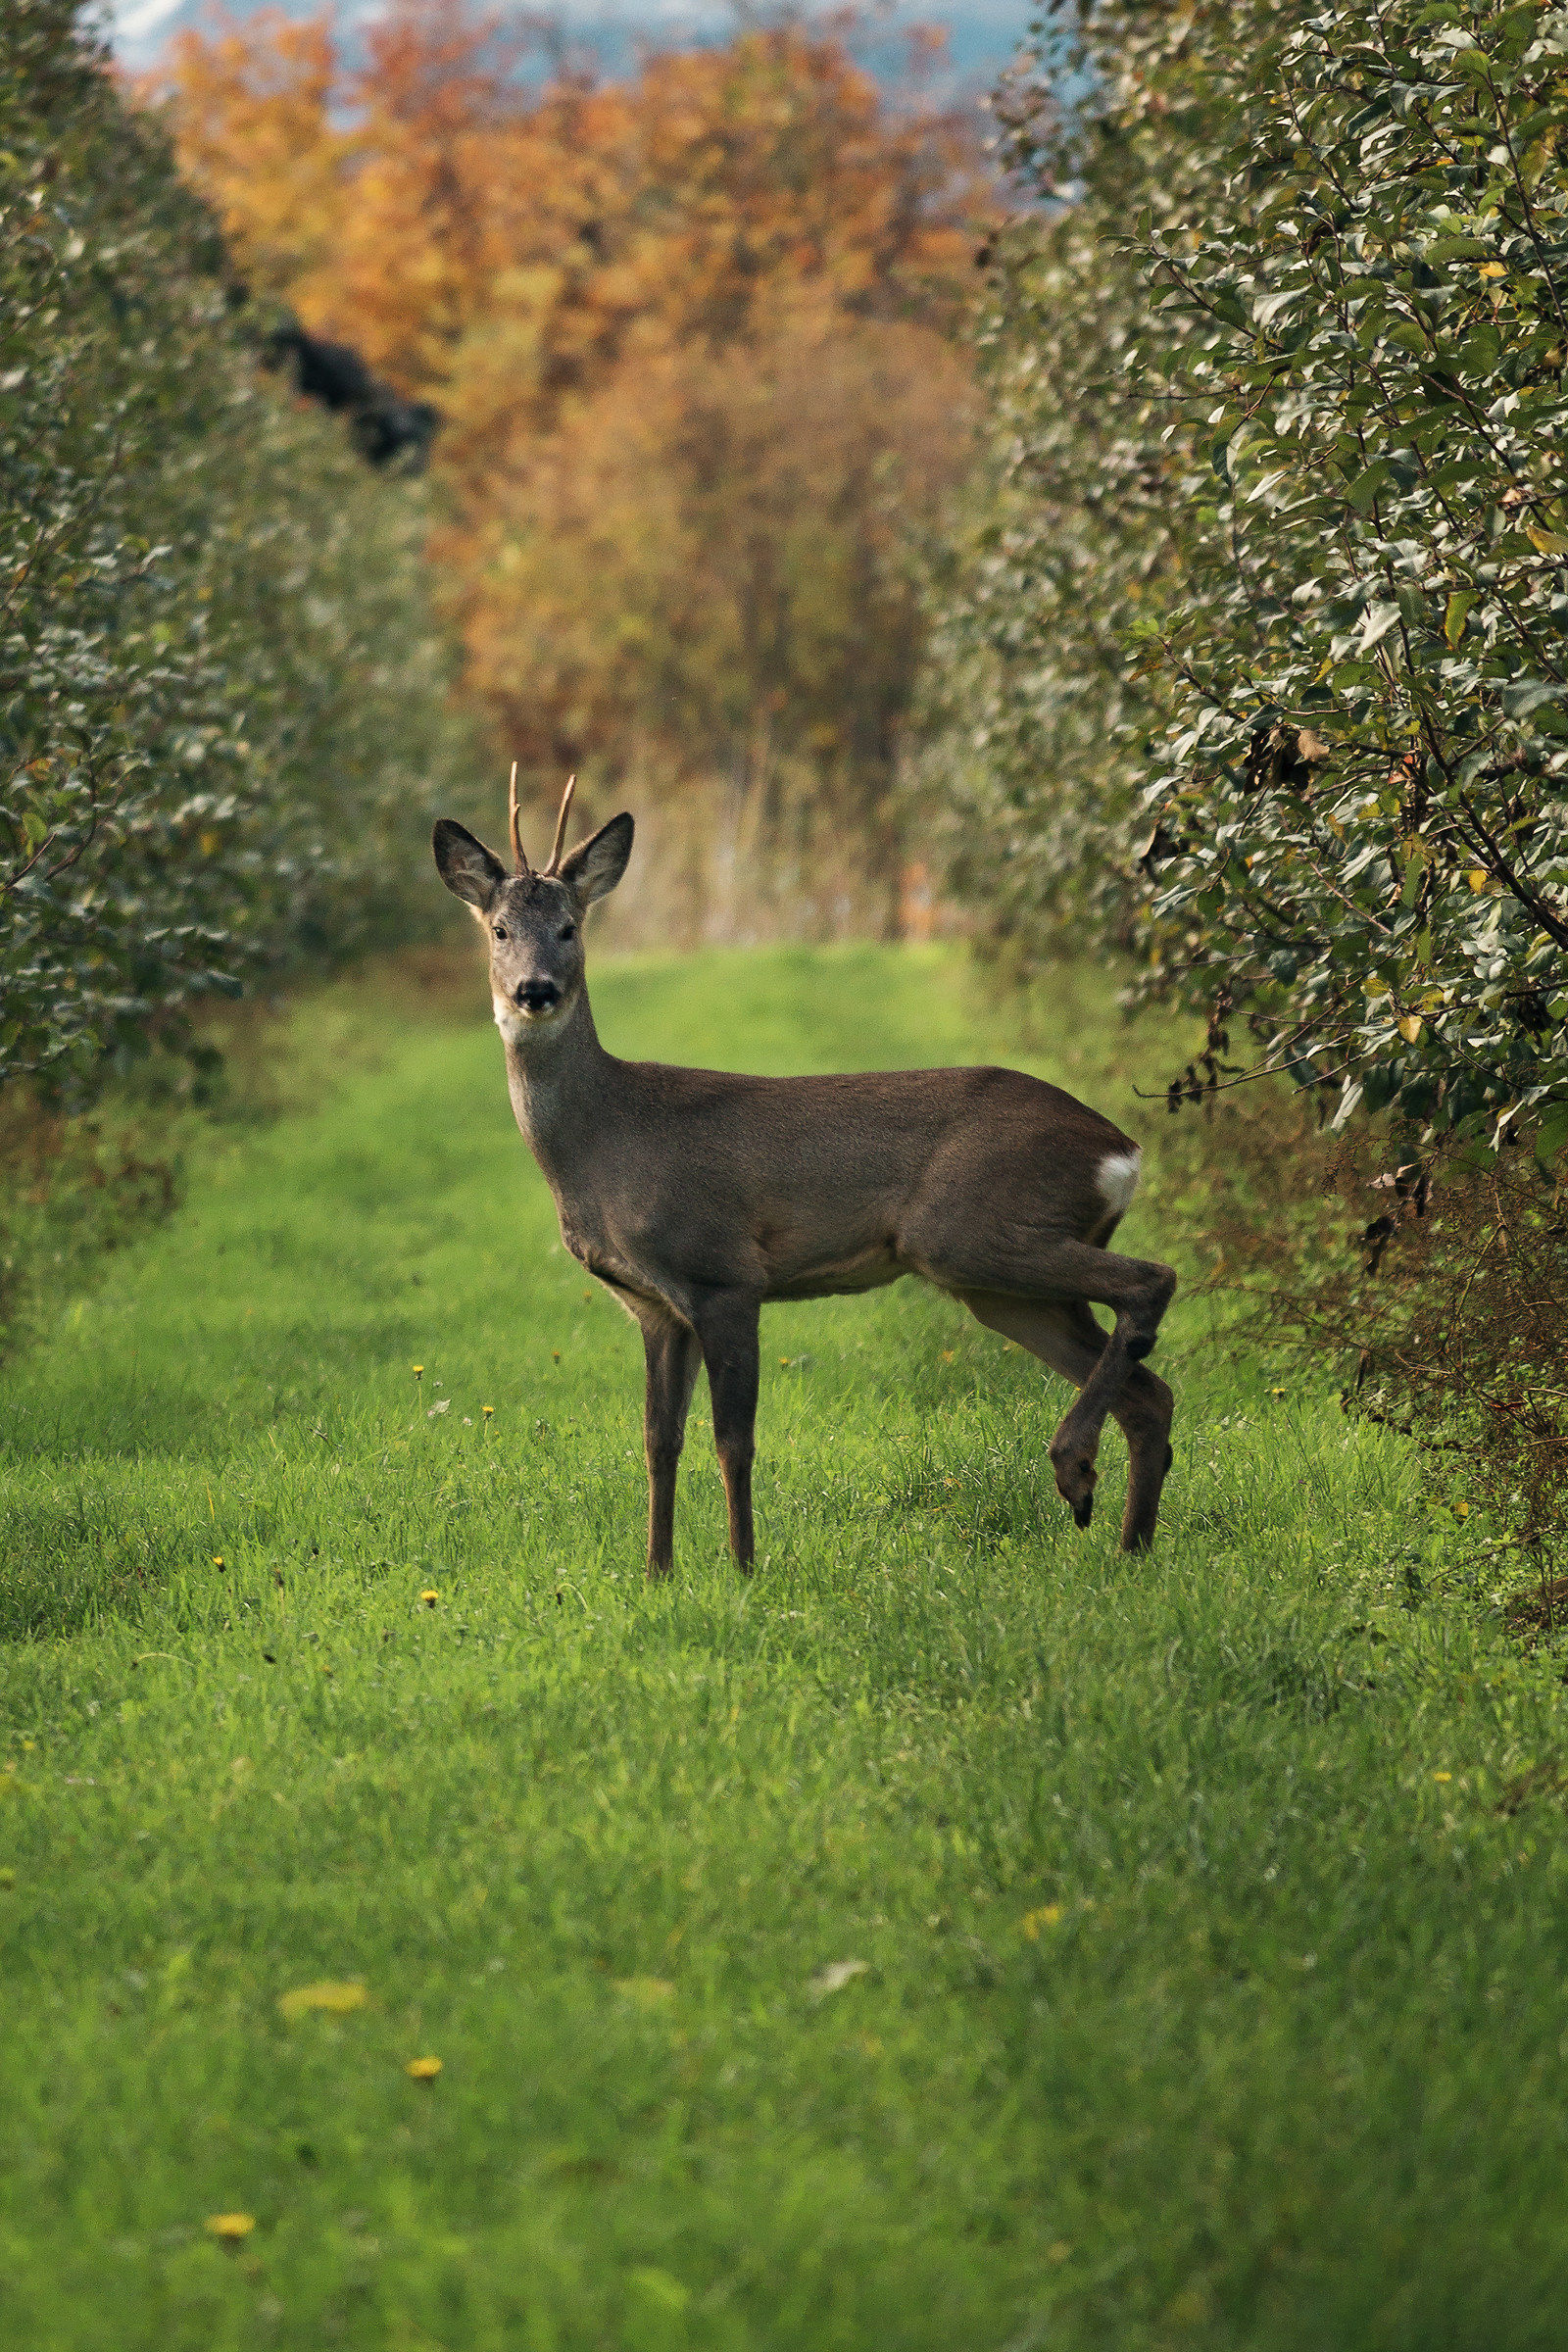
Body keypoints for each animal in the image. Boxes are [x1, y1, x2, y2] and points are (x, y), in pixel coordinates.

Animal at [432, 776, 1175, 1580]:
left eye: (570, 928)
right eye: (499, 930)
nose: (535, 990)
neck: (604, 1143)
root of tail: (1121, 1150)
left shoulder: (725, 1273)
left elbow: (734, 1441)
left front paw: (742, 1568)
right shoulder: (655, 1305)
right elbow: (659, 1442)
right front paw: (658, 1573)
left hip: (971, 1229)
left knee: (1152, 1282)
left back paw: (1075, 1471)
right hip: (999, 1284)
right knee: (1150, 1392)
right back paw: (1131, 1550)